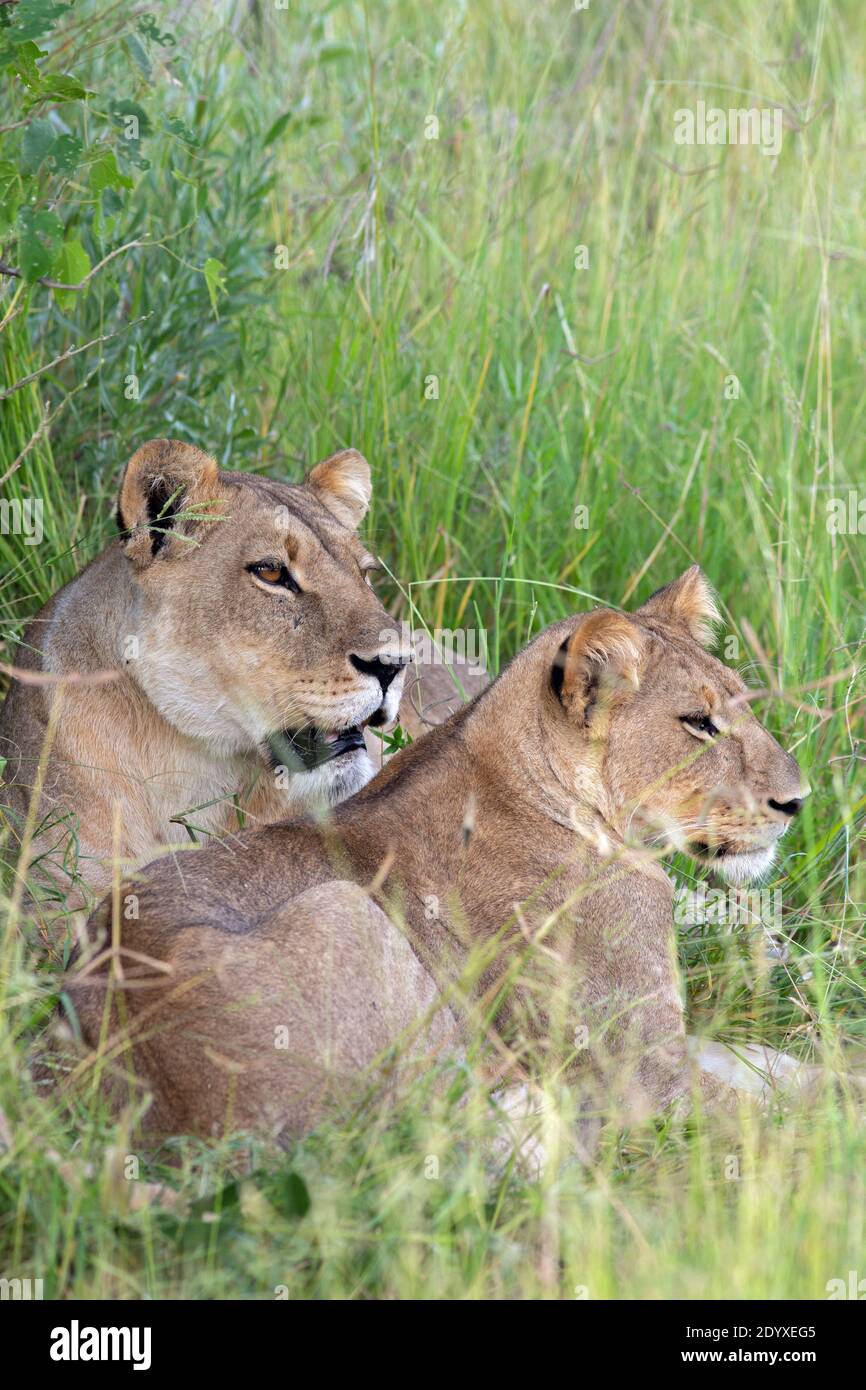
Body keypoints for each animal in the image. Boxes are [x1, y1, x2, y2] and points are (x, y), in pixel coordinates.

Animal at [69, 564, 811, 1139]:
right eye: (699, 724)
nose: (798, 801)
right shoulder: (637, 1072)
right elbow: (787, 1122)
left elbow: (769, 1064)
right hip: (349, 912)